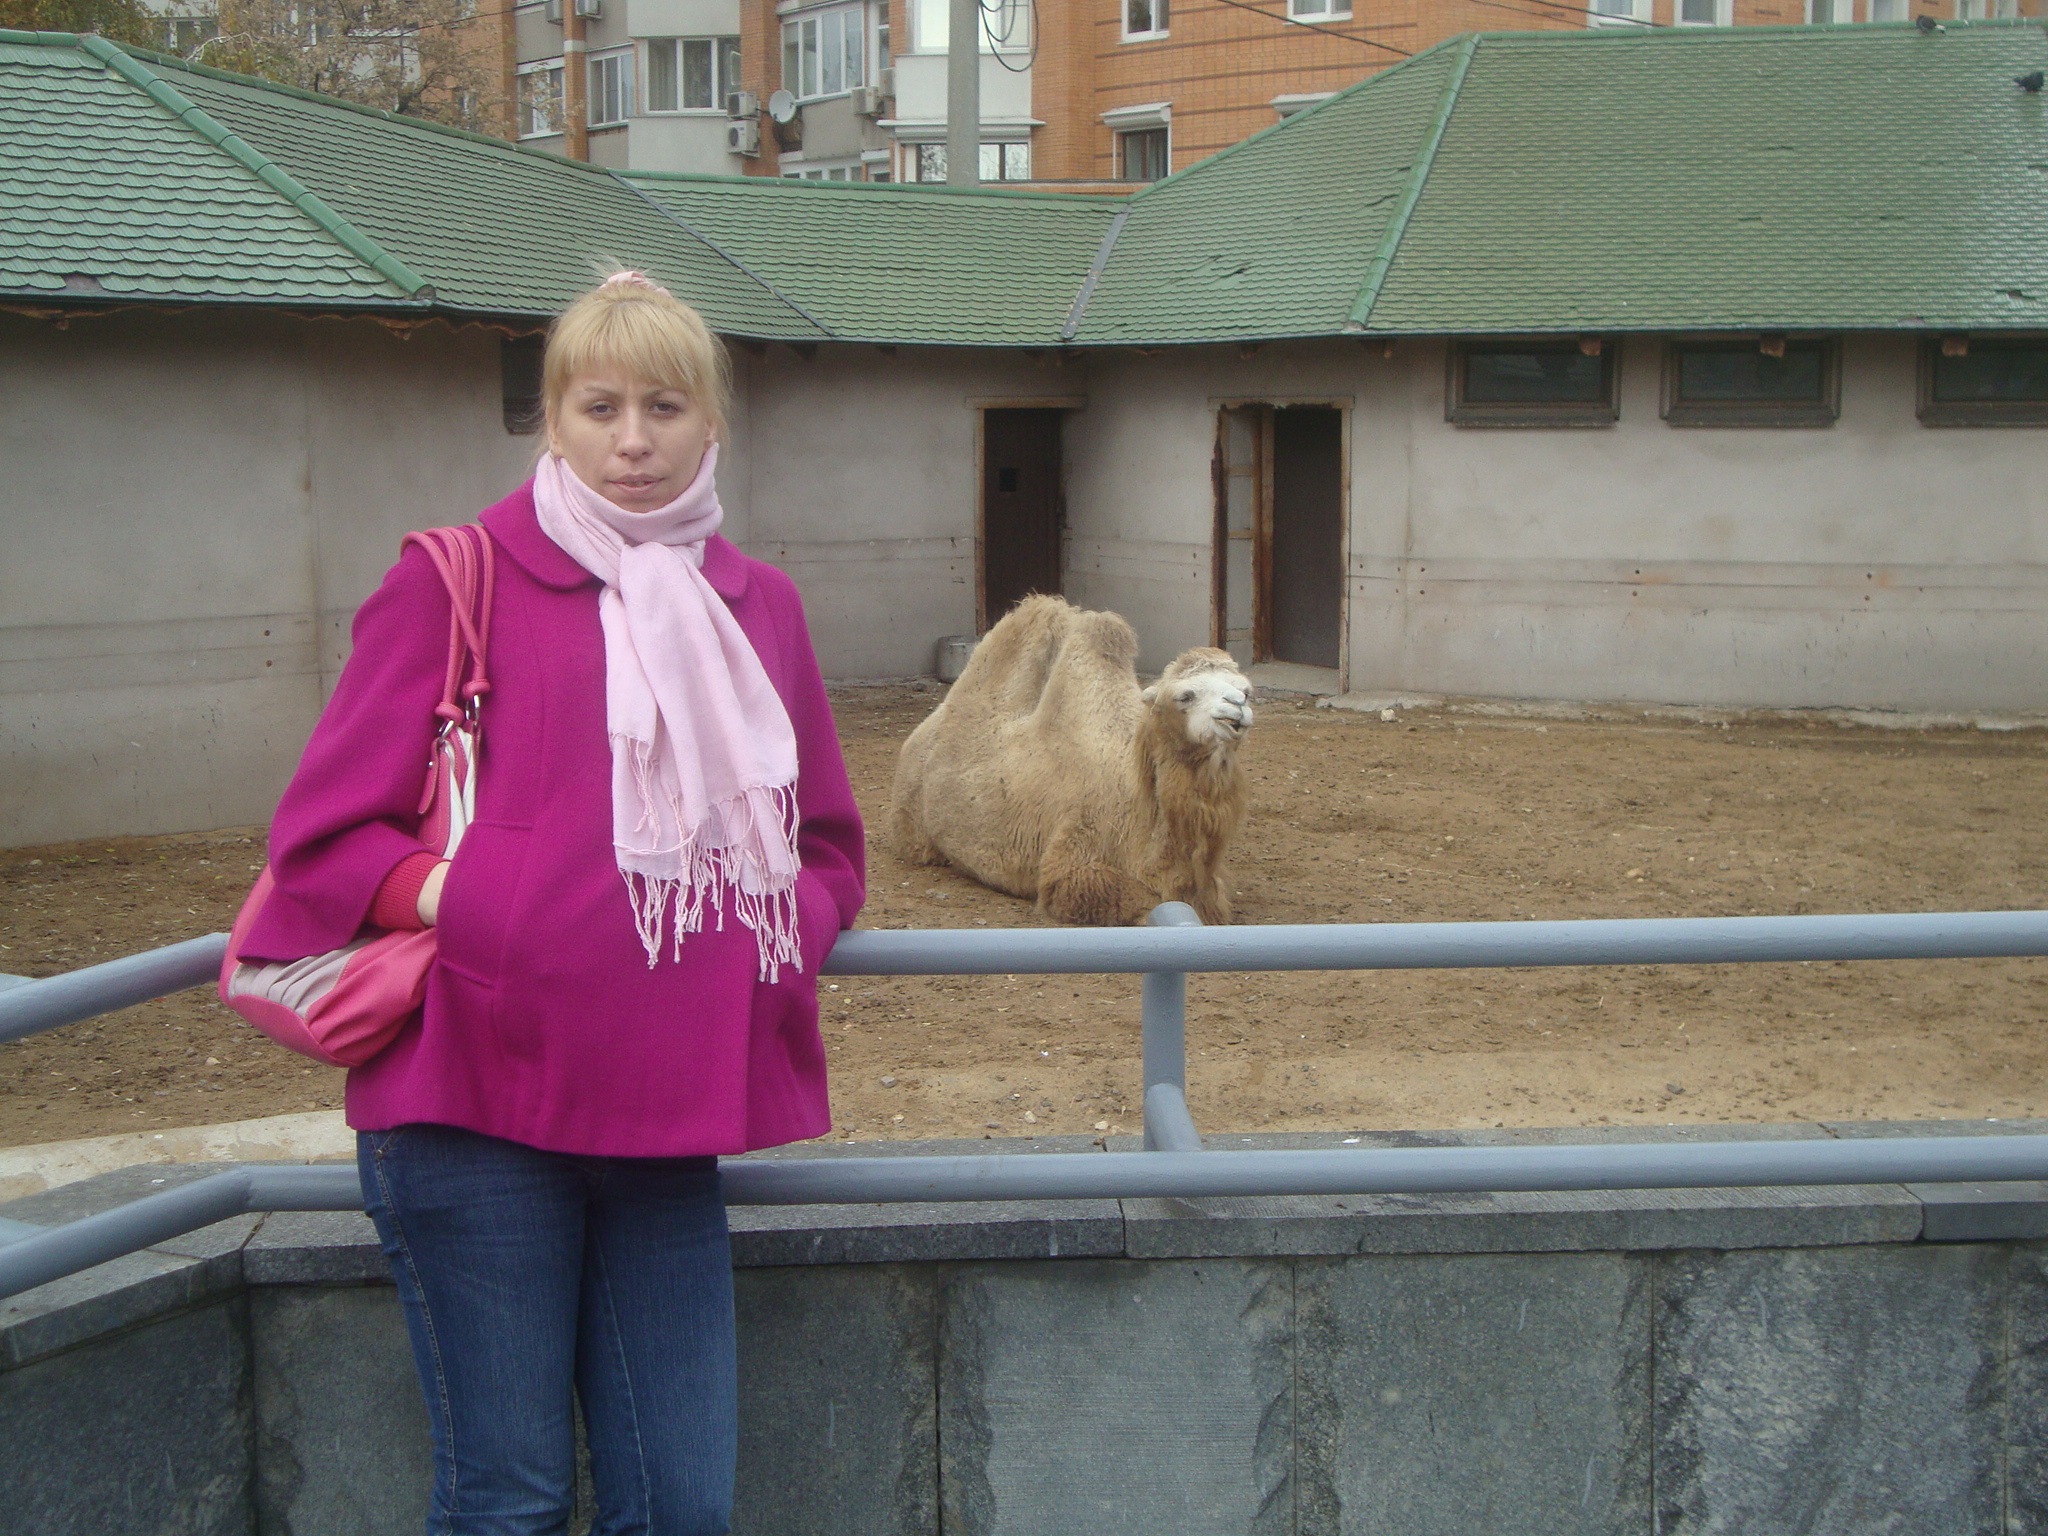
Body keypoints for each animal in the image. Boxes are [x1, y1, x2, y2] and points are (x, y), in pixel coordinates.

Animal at [891, 596, 1254, 925]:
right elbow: (1140, 899)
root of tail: (922, 731)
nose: (1236, 708)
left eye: (1246, 690)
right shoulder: (1074, 859)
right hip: (910, 819)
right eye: (1185, 696)